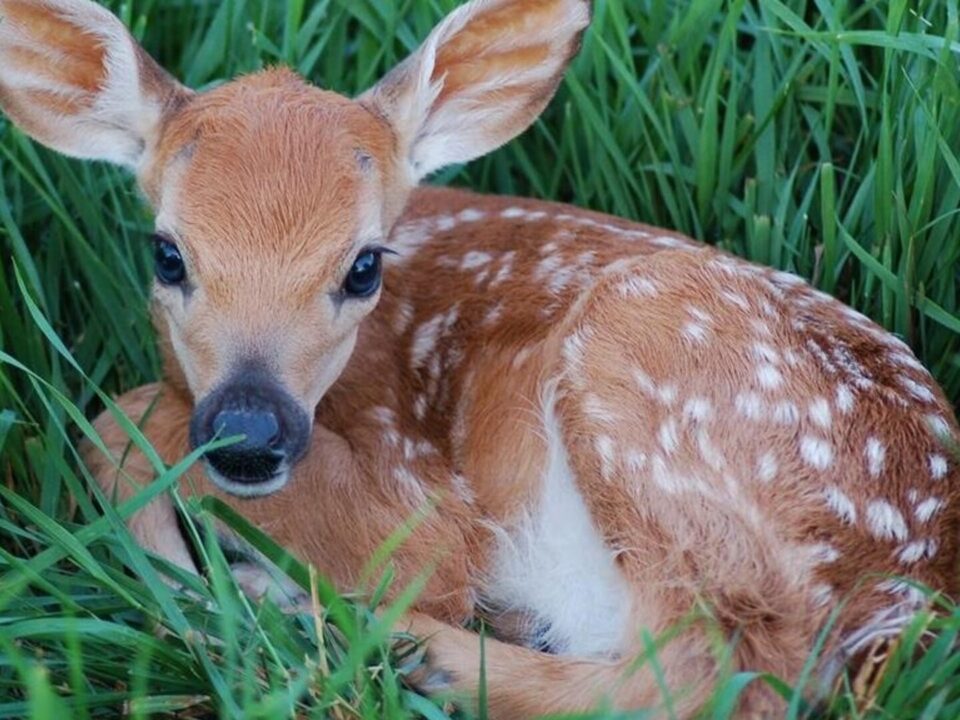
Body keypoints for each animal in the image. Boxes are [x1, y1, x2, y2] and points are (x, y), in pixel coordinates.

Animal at [1, 0, 960, 716]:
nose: (248, 431)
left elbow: (120, 418)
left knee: (713, 670)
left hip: (646, 361)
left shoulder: (422, 499)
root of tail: (911, 590)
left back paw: (362, 634)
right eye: (167, 255)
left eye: (363, 266)